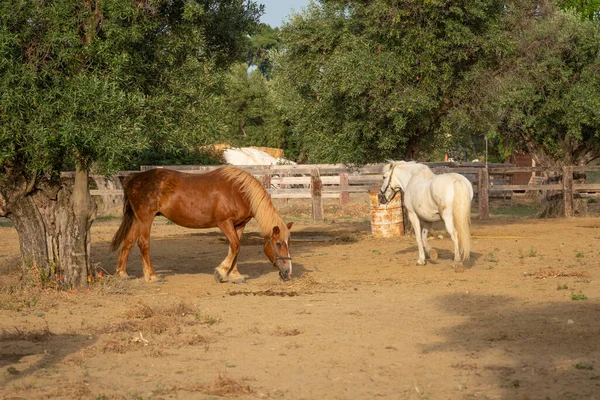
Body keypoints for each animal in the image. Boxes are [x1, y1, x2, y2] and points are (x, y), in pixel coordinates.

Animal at [111, 167, 294, 282]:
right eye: (278, 243)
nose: (288, 272)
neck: (239, 192)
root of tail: (133, 178)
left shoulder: (239, 225)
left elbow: (235, 248)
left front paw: (234, 275)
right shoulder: (224, 223)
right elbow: (235, 246)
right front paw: (220, 272)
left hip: (137, 218)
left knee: (128, 242)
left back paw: (122, 273)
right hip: (145, 218)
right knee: (143, 244)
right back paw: (152, 276)